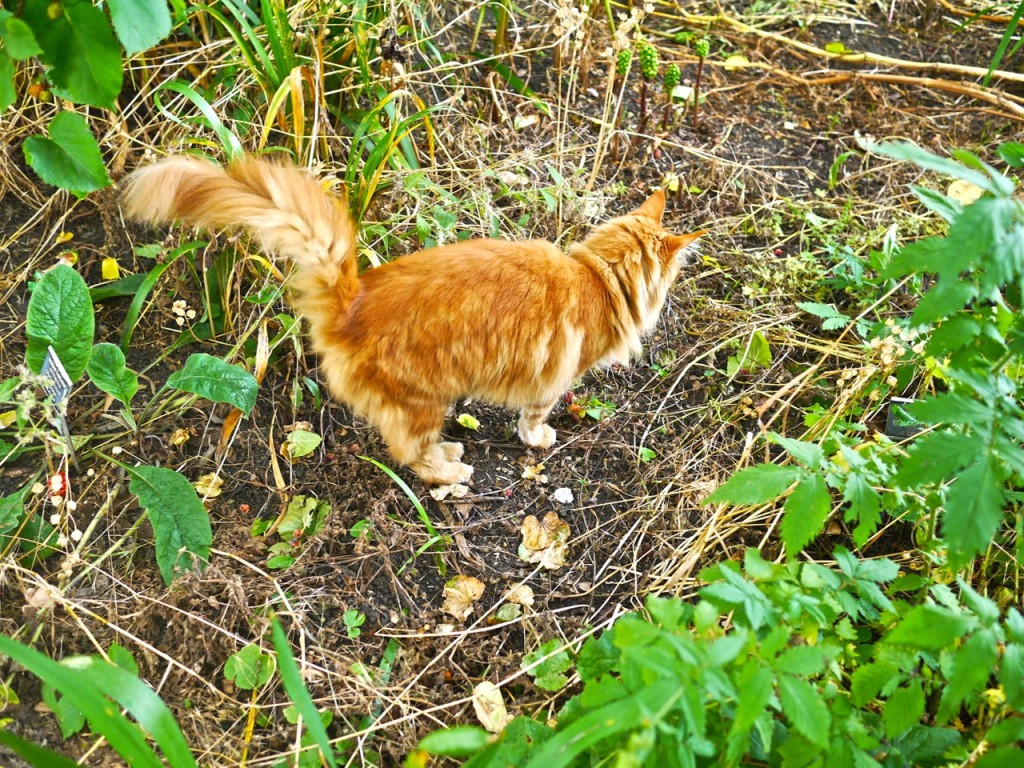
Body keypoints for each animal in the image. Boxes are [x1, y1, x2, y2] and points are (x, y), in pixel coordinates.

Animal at [121, 156, 704, 483]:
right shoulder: (551, 379)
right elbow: (533, 418)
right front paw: (539, 440)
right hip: (424, 400)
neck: (595, 276)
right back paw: (452, 472)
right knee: (411, 457)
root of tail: (353, 299)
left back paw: (452, 450)